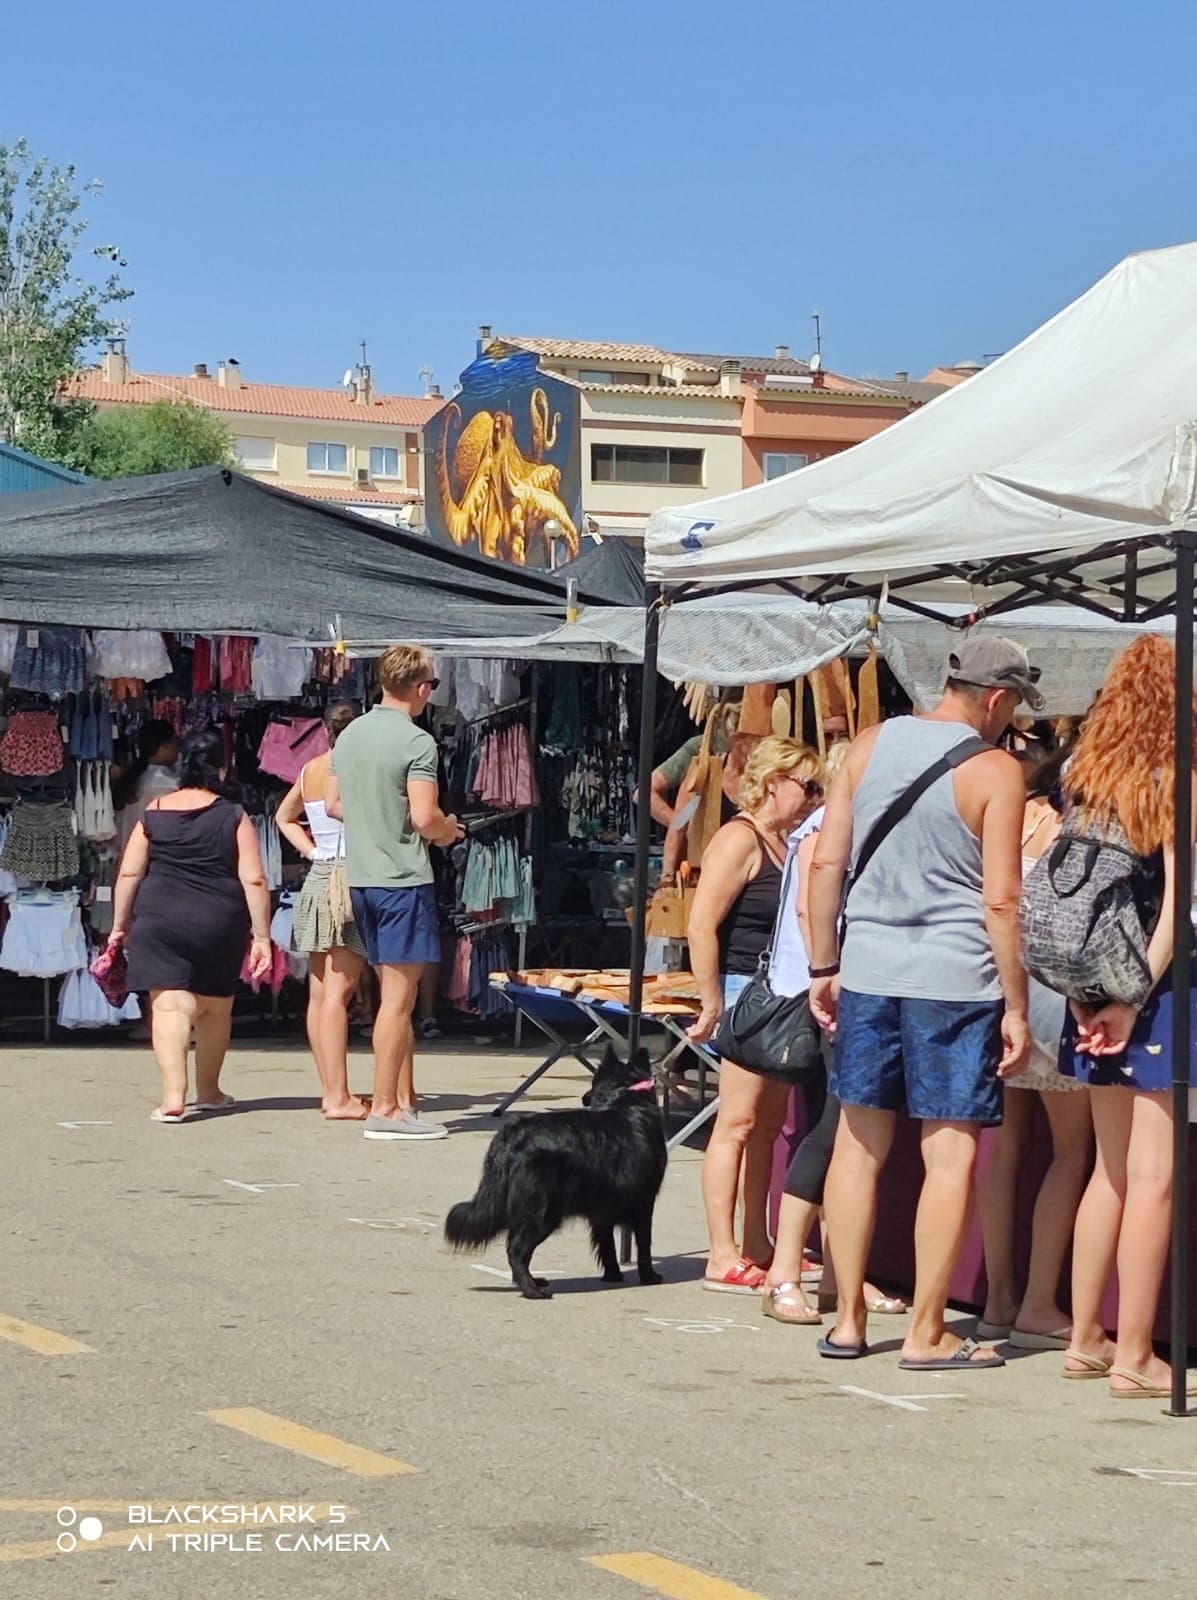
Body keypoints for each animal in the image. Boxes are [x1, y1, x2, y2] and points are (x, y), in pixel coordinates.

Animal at [444, 1049, 668, 1299]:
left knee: (515, 1246)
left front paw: (613, 1275)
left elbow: (607, 1244)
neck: (624, 1097)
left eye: (593, 1083)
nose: (584, 1098)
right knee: (516, 1251)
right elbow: (644, 1244)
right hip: (542, 1214)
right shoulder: (644, 1202)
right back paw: (532, 1290)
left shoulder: (602, 1209)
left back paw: (532, 1281)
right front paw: (649, 1277)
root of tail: (513, 1134)